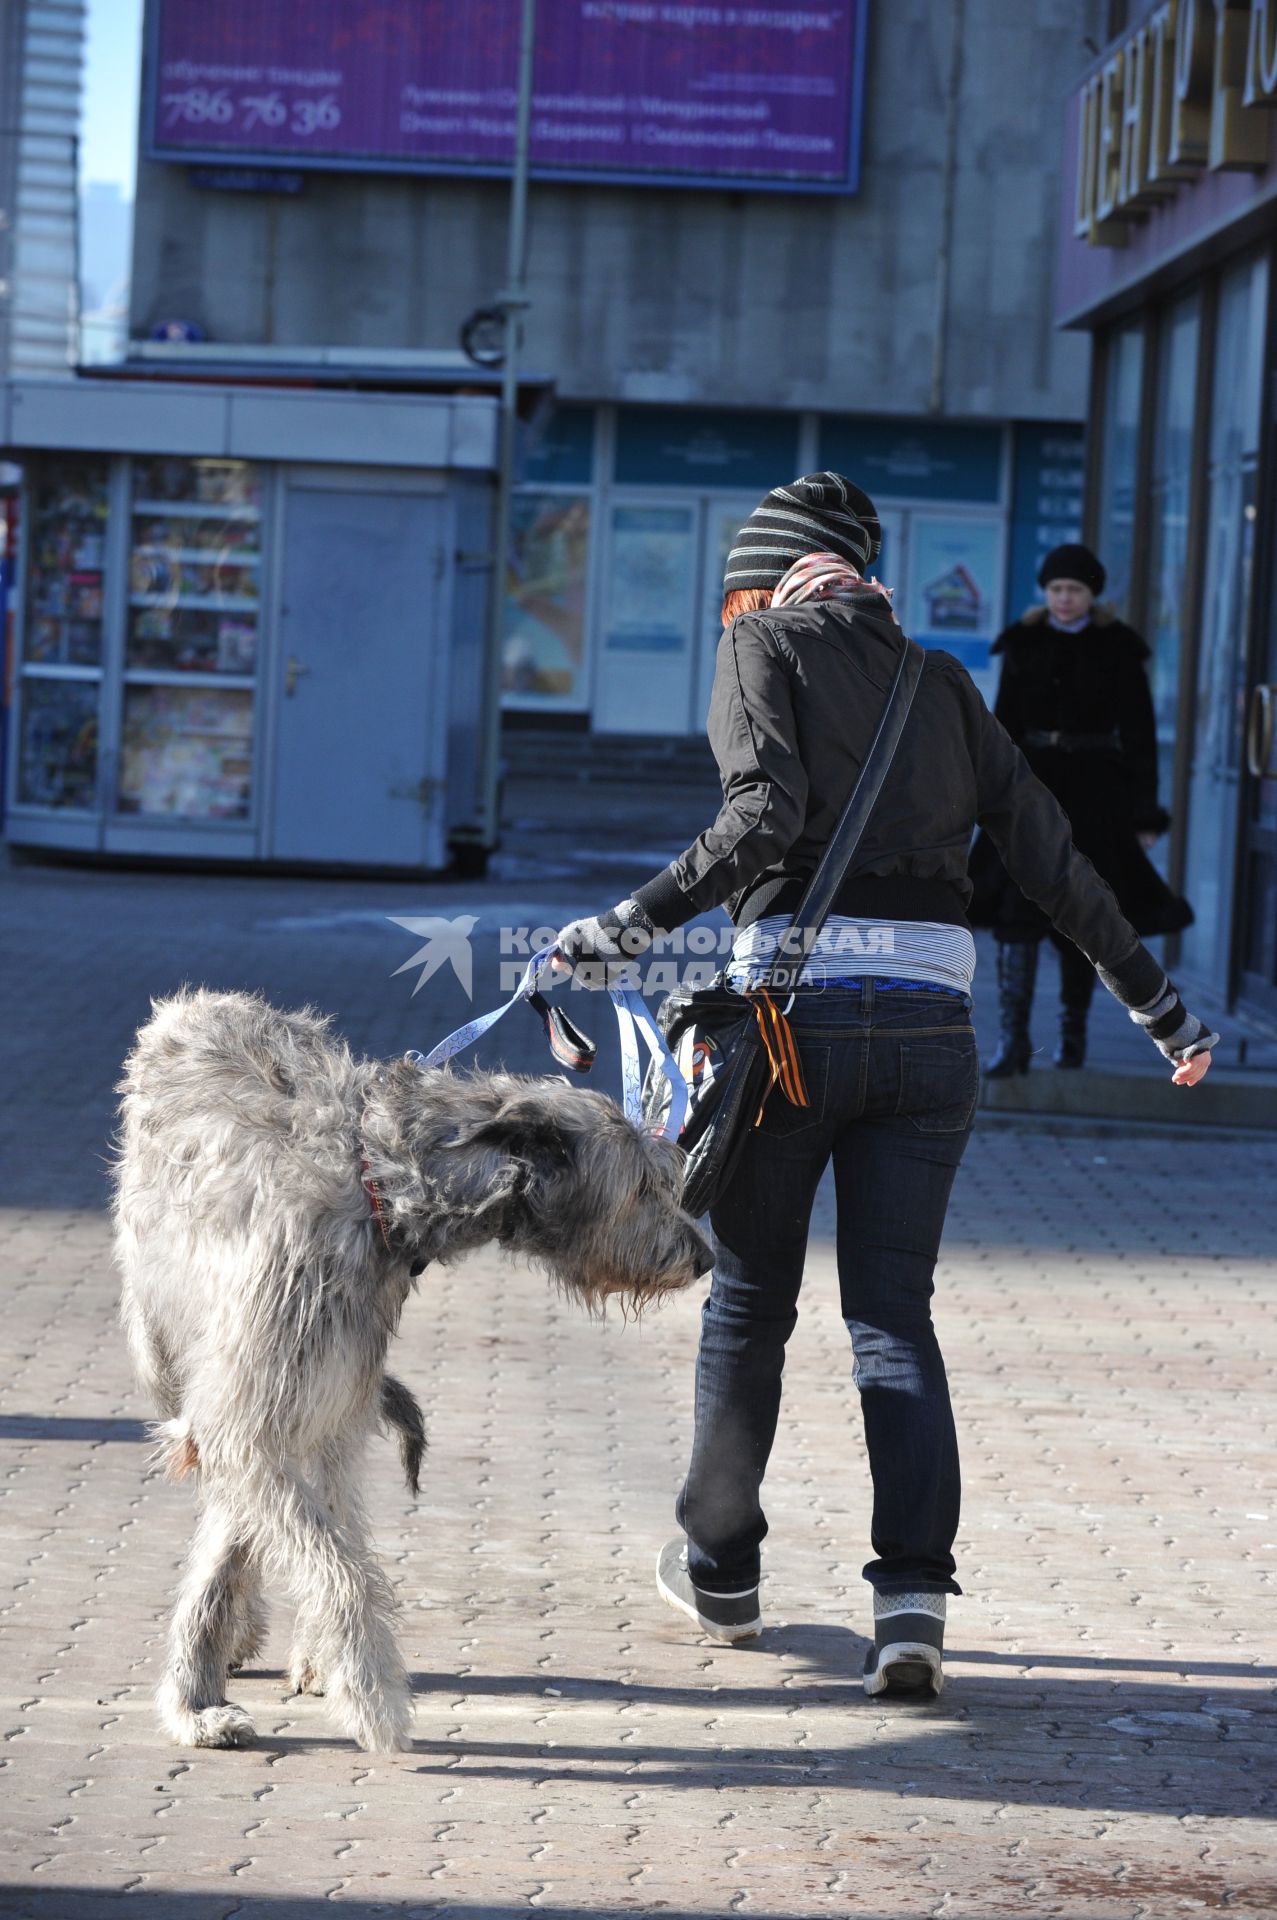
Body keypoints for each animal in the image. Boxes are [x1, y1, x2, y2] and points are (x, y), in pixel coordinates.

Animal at [114, 990, 706, 1758]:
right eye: (642, 1187)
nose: (705, 1257)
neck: (380, 1185)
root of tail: (191, 1003)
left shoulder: (319, 1394)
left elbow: (287, 1542)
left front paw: (227, 1684)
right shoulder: (254, 1403)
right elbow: (325, 1562)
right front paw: (356, 1698)